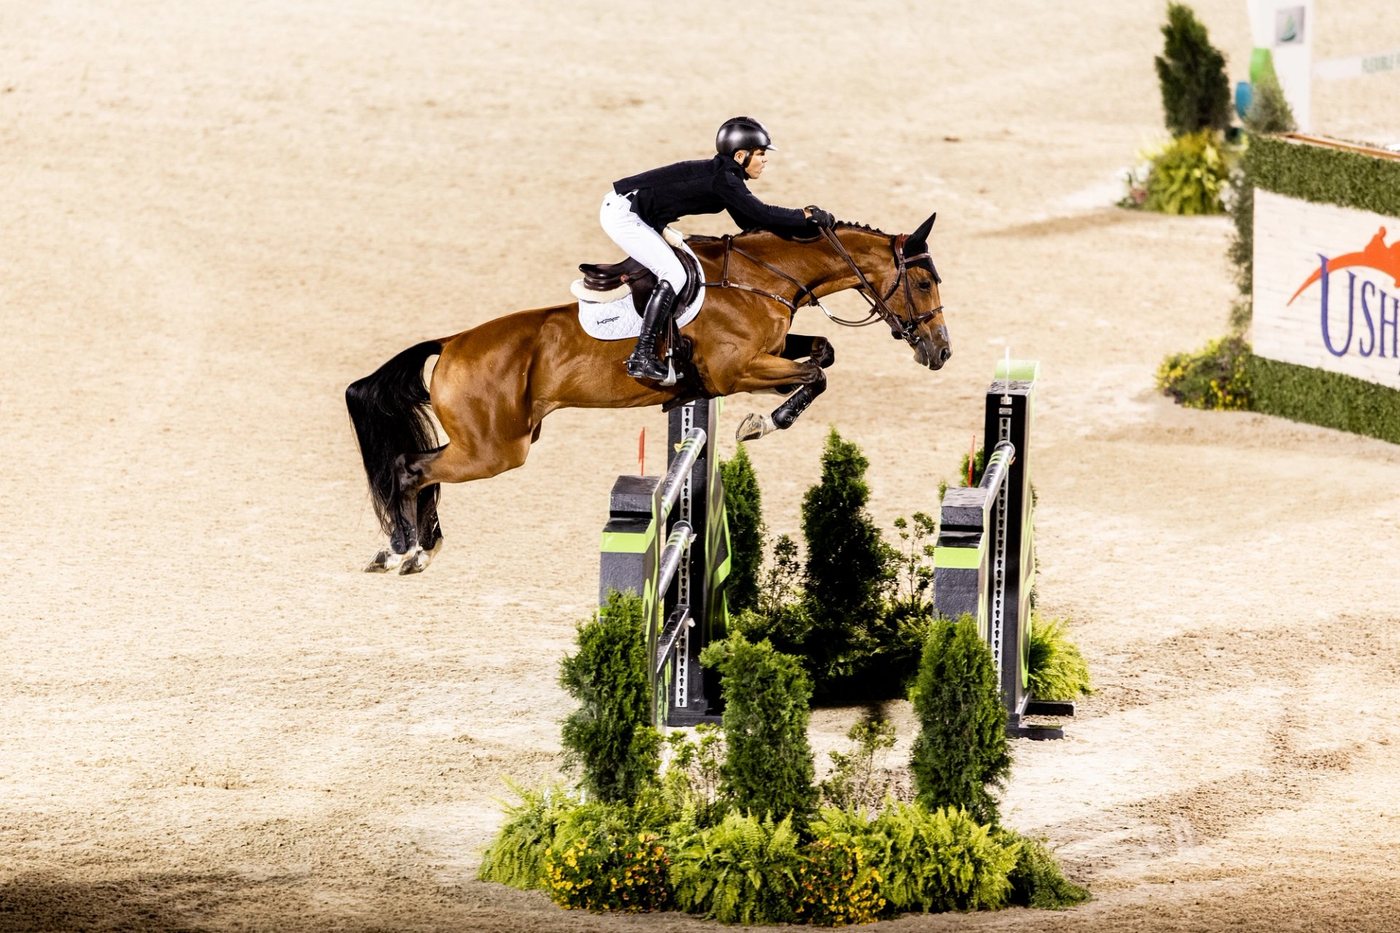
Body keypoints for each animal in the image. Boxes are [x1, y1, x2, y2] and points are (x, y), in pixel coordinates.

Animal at [345, 212, 951, 574]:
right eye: (923, 283)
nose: (939, 352)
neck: (763, 277)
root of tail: (451, 344)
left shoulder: (767, 355)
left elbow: (821, 355)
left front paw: (764, 419)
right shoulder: (737, 371)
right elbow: (815, 373)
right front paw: (760, 424)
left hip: (493, 445)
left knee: (420, 470)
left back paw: (419, 547)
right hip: (494, 450)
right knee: (409, 469)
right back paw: (406, 549)